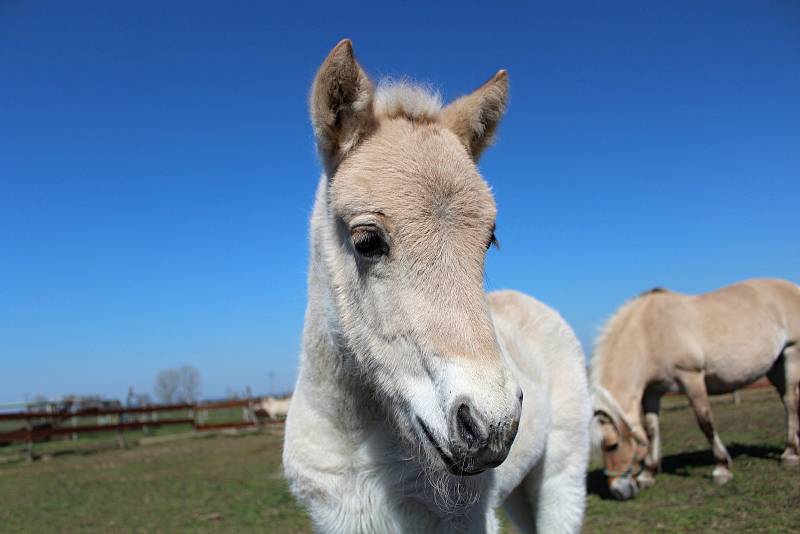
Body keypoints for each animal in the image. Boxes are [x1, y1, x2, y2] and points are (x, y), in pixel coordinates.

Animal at [588, 280, 800, 502]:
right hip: (775, 367)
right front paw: (648, 474)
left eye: (612, 445)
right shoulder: (652, 392)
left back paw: (790, 454)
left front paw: (722, 468)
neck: (649, 332)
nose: (618, 492)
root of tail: (793, 287)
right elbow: (652, 429)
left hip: (792, 354)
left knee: (790, 403)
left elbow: (705, 422)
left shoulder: (692, 378)